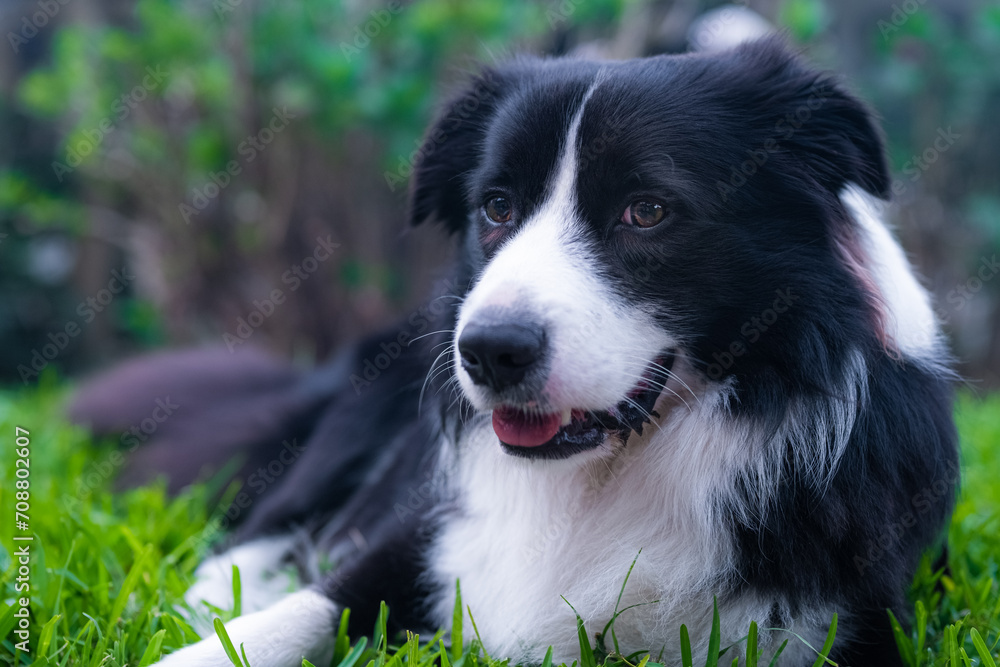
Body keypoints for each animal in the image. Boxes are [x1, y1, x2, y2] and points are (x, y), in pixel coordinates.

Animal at [72, 37, 960, 667]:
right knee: (260, 528)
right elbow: (308, 609)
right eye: (496, 206)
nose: (490, 352)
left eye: (647, 210)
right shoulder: (428, 529)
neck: (608, 471)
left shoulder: (845, 617)